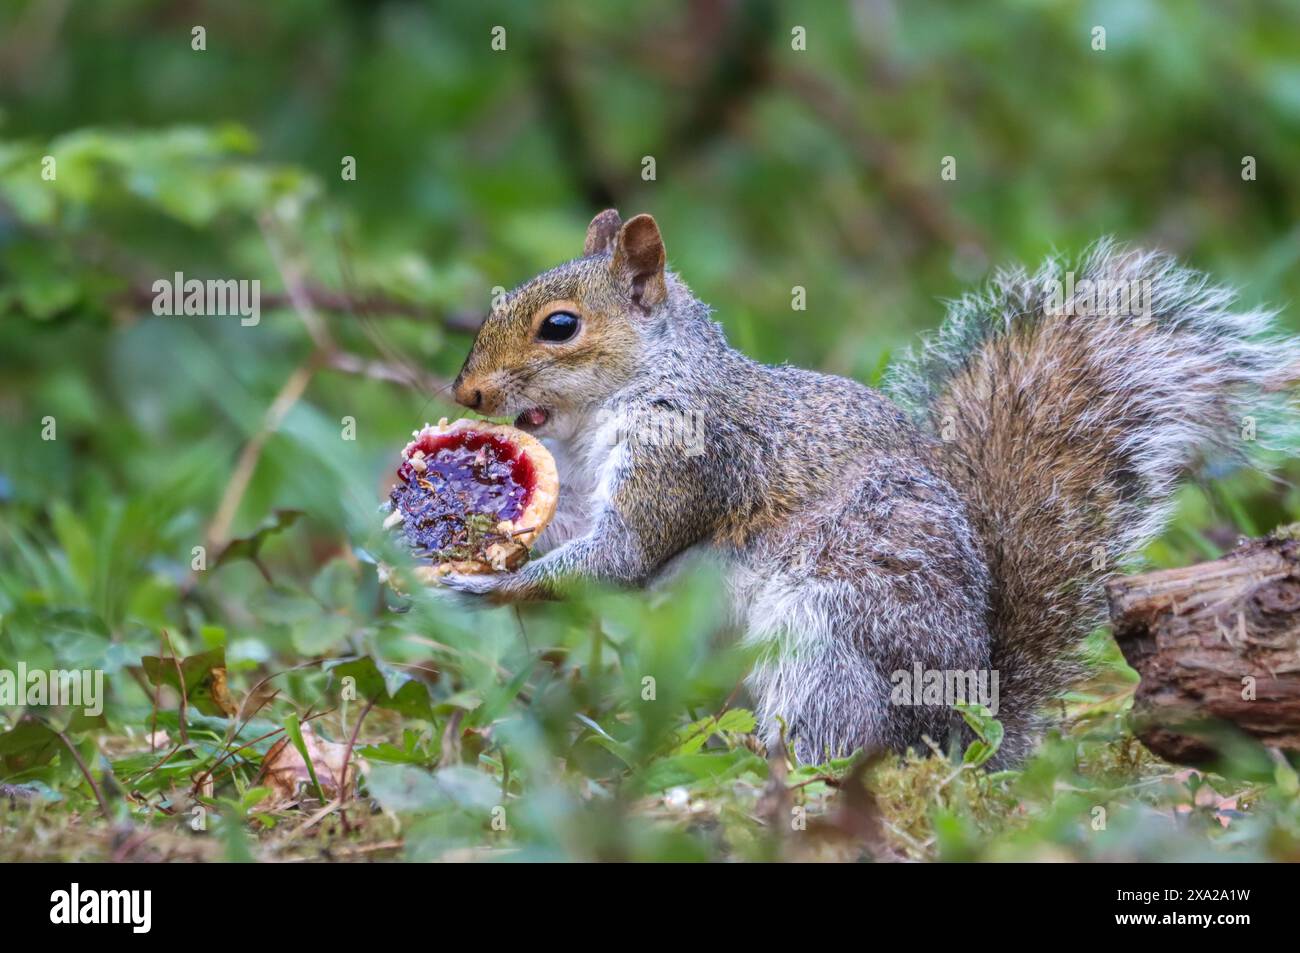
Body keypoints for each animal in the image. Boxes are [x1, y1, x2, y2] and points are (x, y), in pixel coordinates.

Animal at [439, 208, 1300, 765]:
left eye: (560, 326)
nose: (466, 392)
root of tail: (965, 730)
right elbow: (572, 530)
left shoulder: (688, 454)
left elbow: (617, 556)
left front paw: (483, 586)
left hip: (831, 633)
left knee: (840, 738)